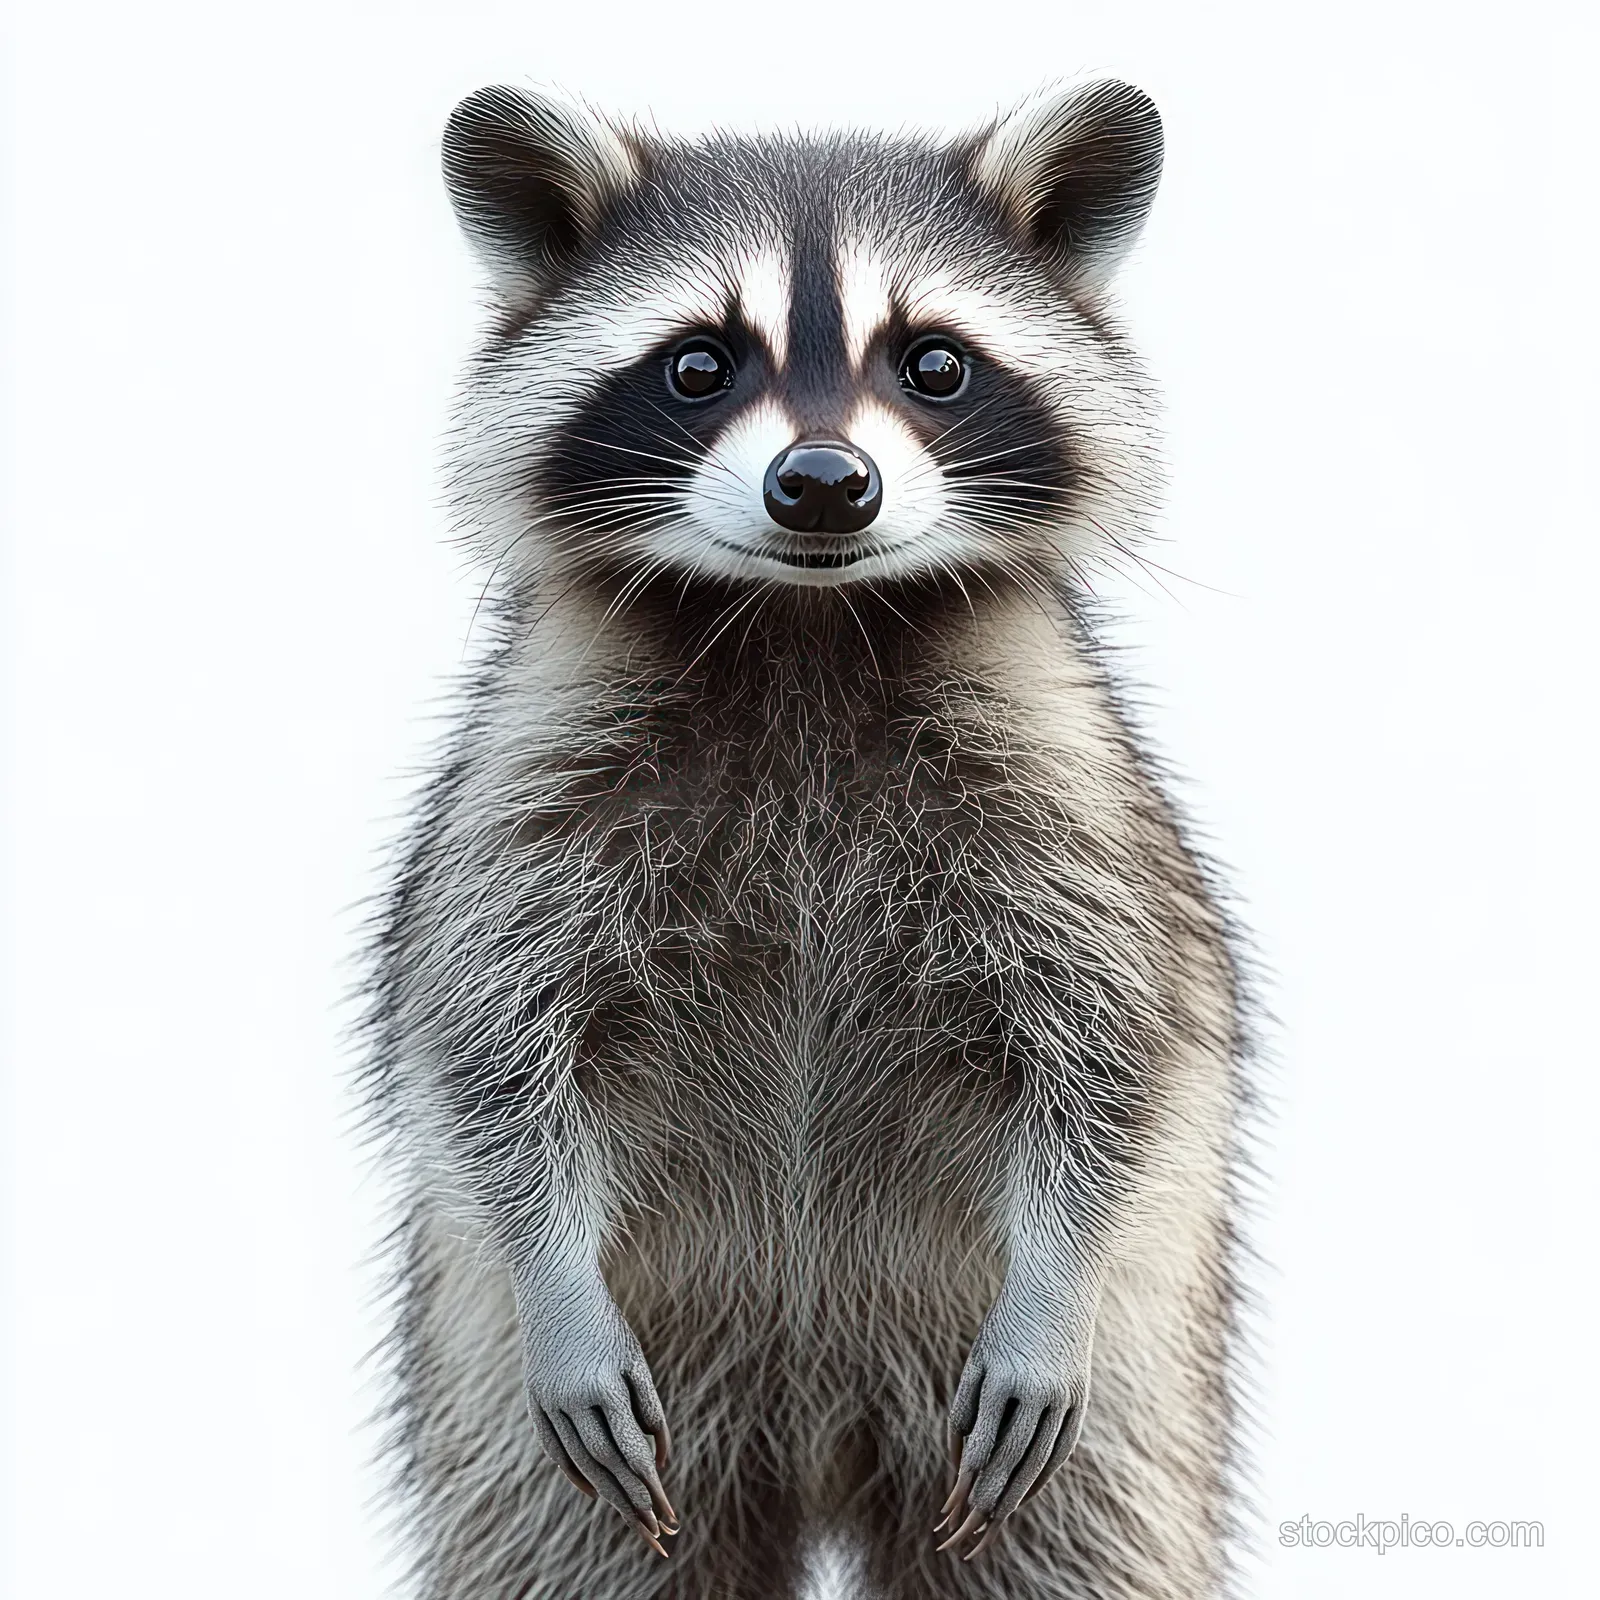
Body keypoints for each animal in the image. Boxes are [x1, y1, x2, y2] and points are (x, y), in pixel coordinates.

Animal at [366, 78, 1247, 1600]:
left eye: (934, 364)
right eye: (699, 366)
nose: (823, 482)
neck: (804, 617)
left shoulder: (1059, 768)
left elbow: (1122, 1033)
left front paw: (1054, 1279)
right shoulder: (532, 765)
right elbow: (480, 1034)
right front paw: (554, 1278)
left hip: (1126, 1394)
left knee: (1084, 1539)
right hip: (534, 1405)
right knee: (567, 1548)